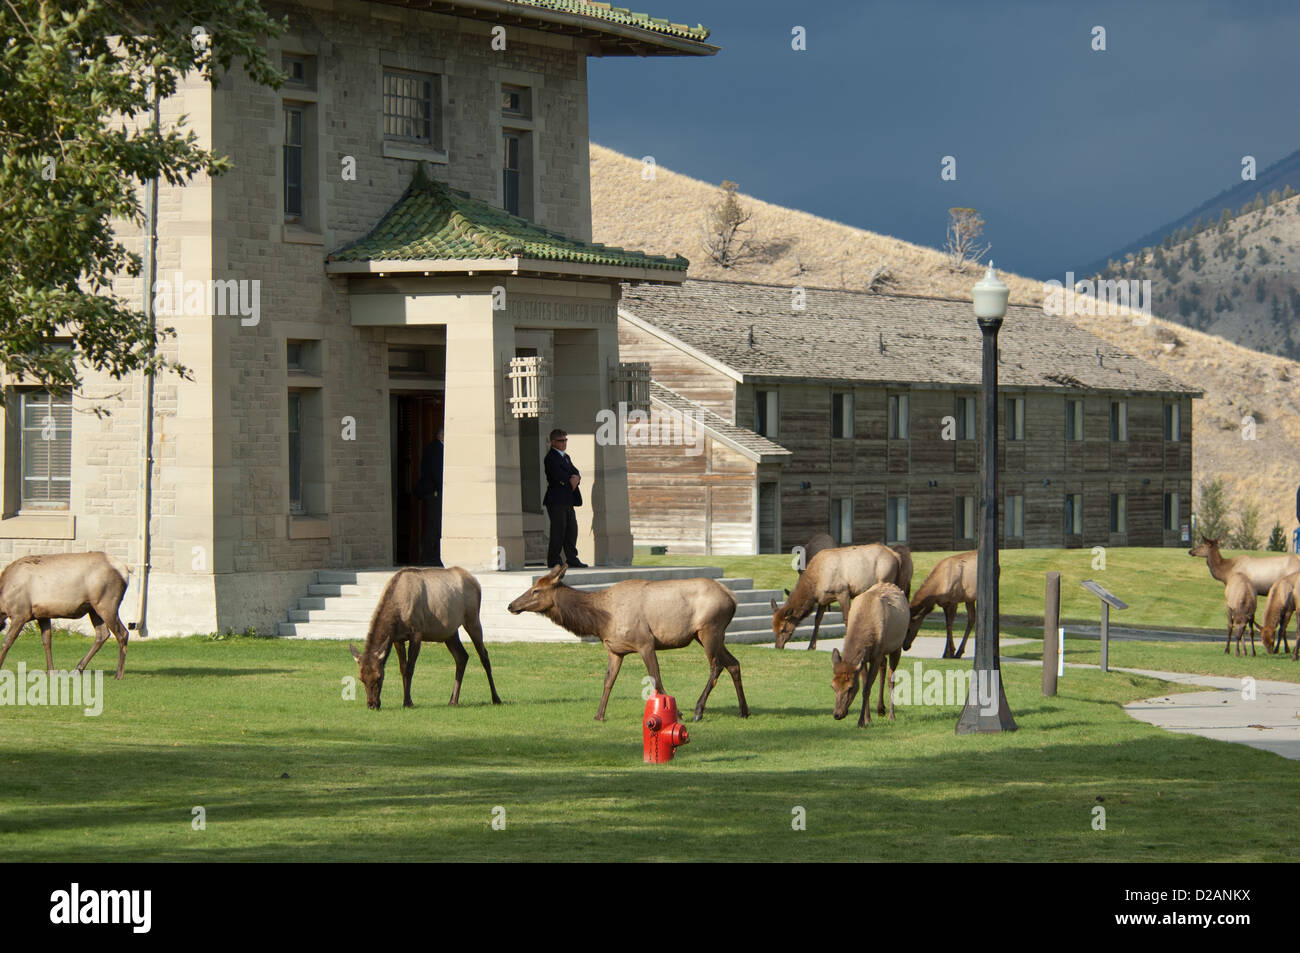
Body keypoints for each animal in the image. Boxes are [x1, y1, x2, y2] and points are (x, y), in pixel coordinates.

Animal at [348, 564, 499, 707]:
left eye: (379, 677)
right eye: (361, 678)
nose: (372, 704)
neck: (397, 613)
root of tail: (476, 582)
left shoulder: (417, 633)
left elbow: (410, 668)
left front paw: (407, 702)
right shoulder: (397, 638)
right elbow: (402, 668)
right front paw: (407, 699)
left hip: (472, 619)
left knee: (484, 656)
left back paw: (496, 698)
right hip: (450, 632)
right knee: (462, 657)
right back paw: (453, 700)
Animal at [509, 561, 754, 717]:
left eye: (536, 590)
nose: (511, 605)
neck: (601, 621)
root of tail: (732, 598)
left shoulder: (645, 642)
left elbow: (656, 679)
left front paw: (677, 713)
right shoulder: (614, 649)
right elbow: (608, 681)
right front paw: (599, 715)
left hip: (710, 629)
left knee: (716, 666)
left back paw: (698, 710)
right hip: (706, 635)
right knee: (734, 663)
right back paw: (744, 710)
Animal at [769, 538, 904, 650]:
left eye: (783, 629)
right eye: (773, 628)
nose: (778, 646)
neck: (815, 585)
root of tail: (896, 556)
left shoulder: (843, 591)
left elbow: (847, 618)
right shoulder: (823, 599)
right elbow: (817, 620)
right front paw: (811, 646)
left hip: (886, 579)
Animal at [826, 579, 909, 728]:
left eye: (850, 687)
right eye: (832, 686)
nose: (837, 714)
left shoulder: (875, 656)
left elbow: (866, 689)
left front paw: (861, 722)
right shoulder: (864, 659)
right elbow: (865, 685)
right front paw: (867, 719)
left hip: (897, 646)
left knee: (891, 678)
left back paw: (891, 715)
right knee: (884, 665)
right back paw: (881, 709)